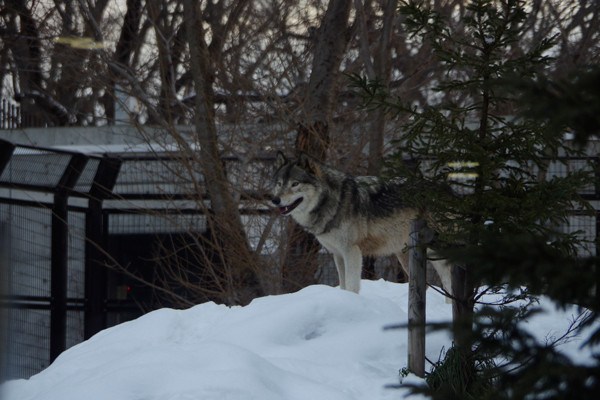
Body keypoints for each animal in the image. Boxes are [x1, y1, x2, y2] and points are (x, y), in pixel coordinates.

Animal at [270, 152, 450, 296]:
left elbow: (351, 286)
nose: (275, 199)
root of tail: (447, 190)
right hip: (406, 255)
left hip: (436, 251)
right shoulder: (338, 254)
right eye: (279, 184)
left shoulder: (352, 251)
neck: (335, 201)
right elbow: (343, 285)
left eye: (295, 184)